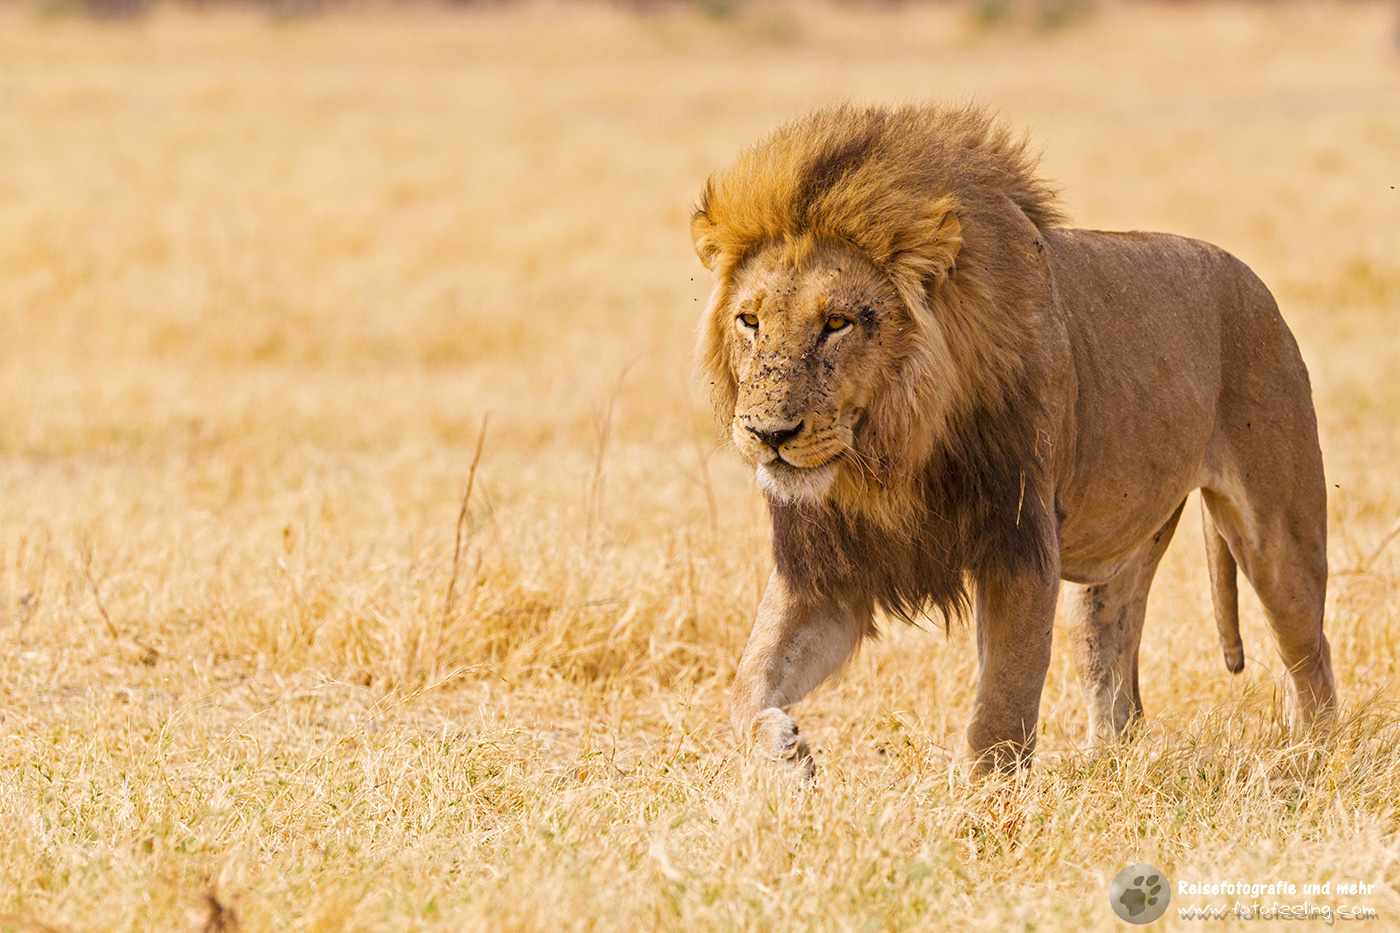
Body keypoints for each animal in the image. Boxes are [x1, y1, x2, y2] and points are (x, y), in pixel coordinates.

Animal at [690, 103, 1336, 774]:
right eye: (749, 321)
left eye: (837, 323)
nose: (767, 433)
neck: (894, 453)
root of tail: (1250, 278)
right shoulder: (826, 569)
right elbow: (745, 685)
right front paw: (785, 757)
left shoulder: (1019, 542)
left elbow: (1001, 709)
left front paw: (985, 798)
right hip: (1112, 569)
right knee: (1116, 674)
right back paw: (1102, 769)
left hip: (1279, 535)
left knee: (1311, 656)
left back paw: (1311, 761)